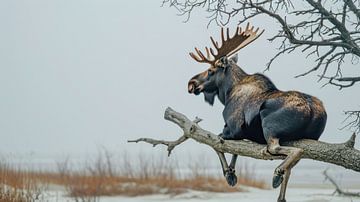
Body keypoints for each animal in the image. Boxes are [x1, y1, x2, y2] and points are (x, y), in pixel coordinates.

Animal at [187, 24, 328, 202]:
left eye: (211, 70)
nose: (191, 83)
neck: (226, 94)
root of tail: (312, 110)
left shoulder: (233, 129)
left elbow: (218, 145)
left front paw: (229, 174)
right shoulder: (238, 133)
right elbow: (233, 150)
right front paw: (232, 172)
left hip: (269, 128)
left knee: (285, 150)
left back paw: (277, 175)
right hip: (307, 137)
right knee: (292, 164)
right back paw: (281, 195)